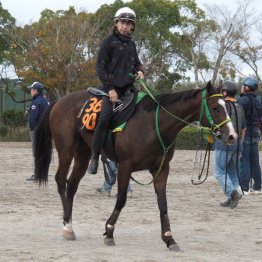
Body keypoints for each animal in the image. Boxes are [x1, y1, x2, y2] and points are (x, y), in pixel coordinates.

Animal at [33, 81, 237, 251]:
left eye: (228, 107)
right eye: (215, 107)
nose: (232, 136)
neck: (153, 125)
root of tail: (59, 101)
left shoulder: (161, 170)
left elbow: (163, 204)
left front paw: (169, 238)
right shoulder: (125, 165)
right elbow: (121, 199)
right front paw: (109, 231)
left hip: (83, 154)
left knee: (72, 185)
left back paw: (70, 225)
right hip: (66, 150)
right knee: (61, 181)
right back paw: (67, 227)